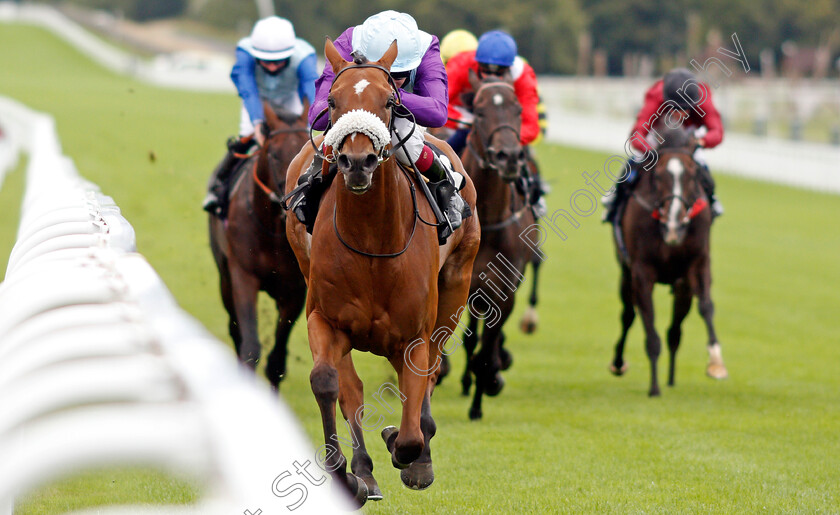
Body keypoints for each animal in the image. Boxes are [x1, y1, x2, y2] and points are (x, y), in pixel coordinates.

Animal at [208, 103, 308, 390]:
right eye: (273, 154)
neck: (273, 230)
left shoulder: (295, 289)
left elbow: (277, 360)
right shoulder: (243, 276)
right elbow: (250, 346)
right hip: (224, 277)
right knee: (234, 329)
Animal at [286, 41, 480, 508]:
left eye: (389, 101)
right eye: (332, 102)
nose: (357, 162)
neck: (372, 241)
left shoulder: (413, 335)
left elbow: (410, 427)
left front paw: (407, 450)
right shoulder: (325, 319)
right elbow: (329, 382)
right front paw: (347, 474)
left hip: (456, 287)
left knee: (432, 371)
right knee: (352, 388)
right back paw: (365, 472)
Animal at [450, 70, 540, 422]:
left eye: (518, 109)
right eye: (479, 110)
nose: (509, 157)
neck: (486, 220)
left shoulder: (503, 292)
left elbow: (486, 352)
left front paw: (486, 387)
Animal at [612, 126, 728, 400]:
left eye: (693, 175)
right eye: (658, 175)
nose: (674, 223)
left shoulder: (698, 263)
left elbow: (706, 307)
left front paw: (716, 363)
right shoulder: (641, 272)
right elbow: (649, 326)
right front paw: (654, 387)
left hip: (681, 285)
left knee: (675, 330)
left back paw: (672, 378)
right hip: (626, 275)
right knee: (628, 315)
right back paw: (619, 362)